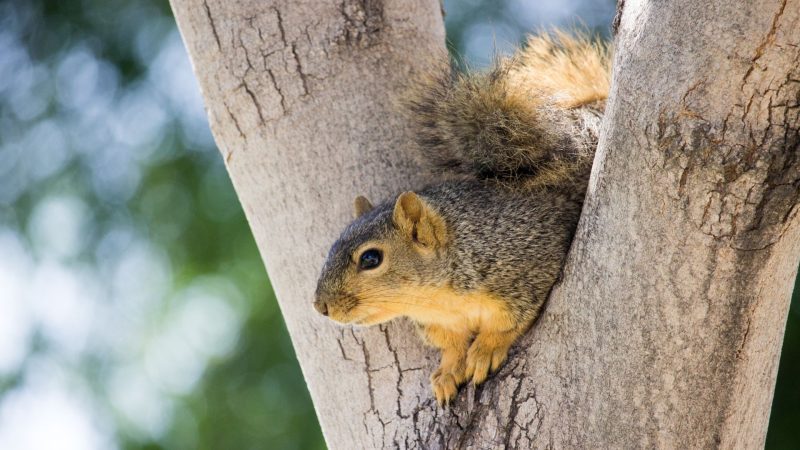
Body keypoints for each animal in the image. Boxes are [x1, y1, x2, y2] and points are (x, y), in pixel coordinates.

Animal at [314, 30, 612, 404]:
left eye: (371, 258)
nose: (320, 307)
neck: (439, 299)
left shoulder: (529, 264)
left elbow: (510, 322)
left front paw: (485, 350)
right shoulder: (441, 323)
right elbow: (451, 346)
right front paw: (447, 370)